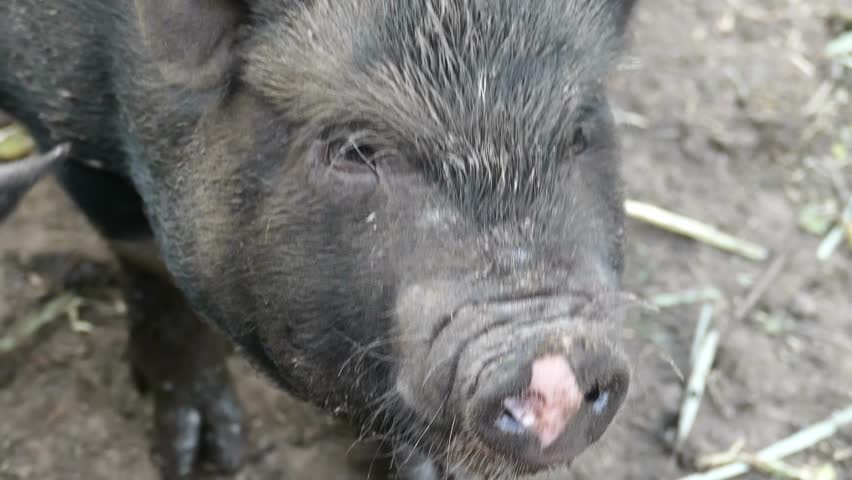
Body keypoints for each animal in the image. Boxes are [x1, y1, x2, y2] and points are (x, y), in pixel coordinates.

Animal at [0, 0, 638, 478]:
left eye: (579, 133)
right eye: (354, 149)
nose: (556, 358)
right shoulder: (65, 124)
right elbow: (151, 269)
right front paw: (208, 459)